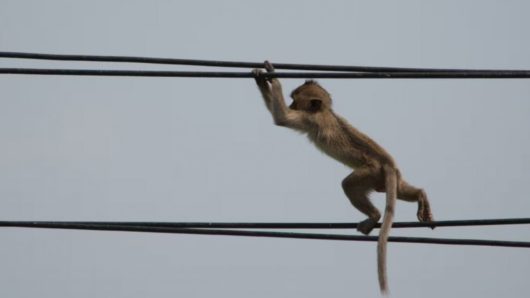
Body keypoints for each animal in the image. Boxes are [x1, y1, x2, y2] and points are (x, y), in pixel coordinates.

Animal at [253, 61, 434, 294]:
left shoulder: (309, 119)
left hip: (371, 171)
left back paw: (374, 215)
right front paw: (263, 74)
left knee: (348, 184)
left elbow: (281, 118)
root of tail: (389, 163)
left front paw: (270, 77)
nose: (292, 105)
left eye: (294, 99)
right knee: (398, 189)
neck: (324, 111)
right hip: (382, 178)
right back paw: (421, 195)